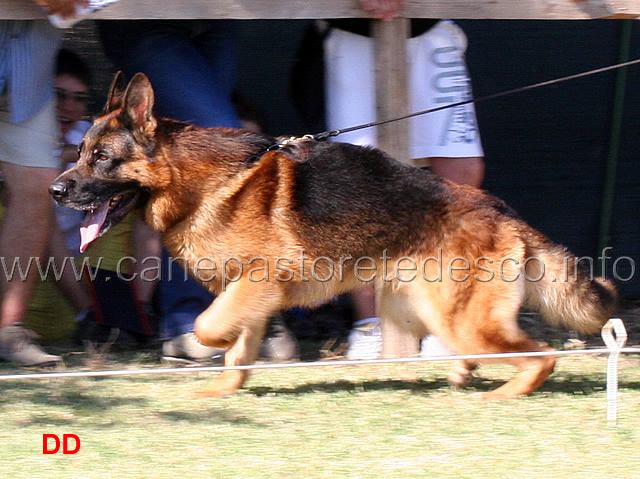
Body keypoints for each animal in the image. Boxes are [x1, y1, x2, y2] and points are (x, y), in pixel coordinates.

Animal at [52, 73, 616, 400]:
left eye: (101, 158)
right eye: (80, 152)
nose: (57, 190)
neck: (196, 181)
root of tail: (502, 212)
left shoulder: (256, 284)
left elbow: (211, 325)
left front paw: (206, 348)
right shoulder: (249, 294)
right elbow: (237, 348)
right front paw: (223, 389)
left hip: (460, 318)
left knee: (542, 356)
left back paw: (500, 394)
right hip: (419, 308)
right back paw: (463, 375)